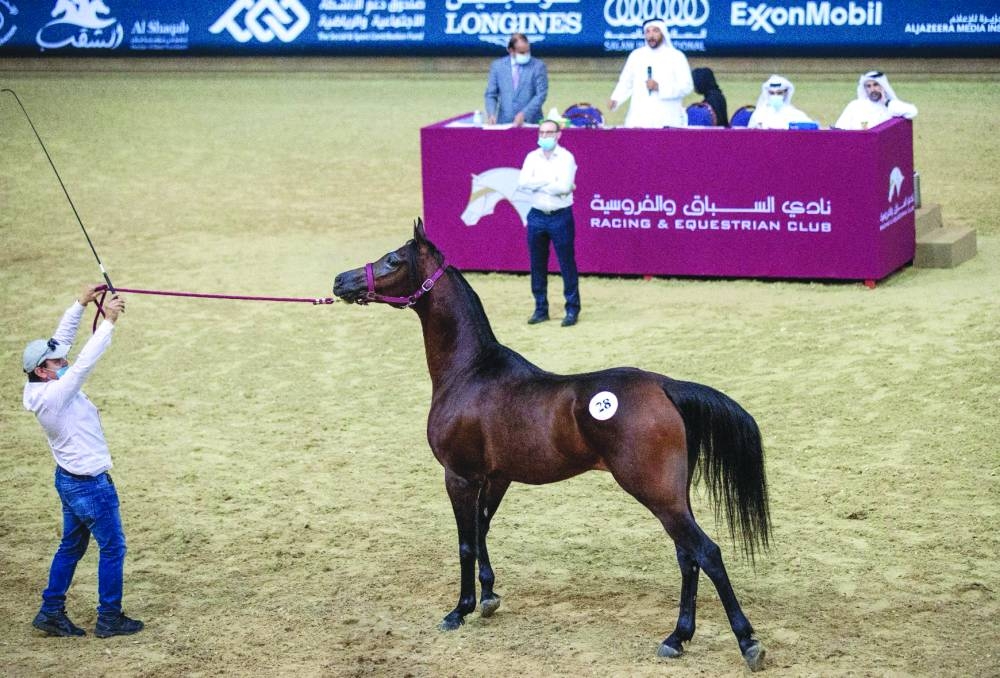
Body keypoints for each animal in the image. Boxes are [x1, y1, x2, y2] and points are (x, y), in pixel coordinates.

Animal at [332, 220, 771, 672]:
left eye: (393, 260)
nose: (341, 281)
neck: (470, 373)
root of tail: (665, 386)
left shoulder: (459, 476)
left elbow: (466, 541)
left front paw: (460, 610)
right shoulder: (496, 478)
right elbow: (483, 530)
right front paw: (488, 597)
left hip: (657, 495)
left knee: (708, 553)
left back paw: (747, 642)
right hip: (673, 496)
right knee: (688, 558)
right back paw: (677, 638)